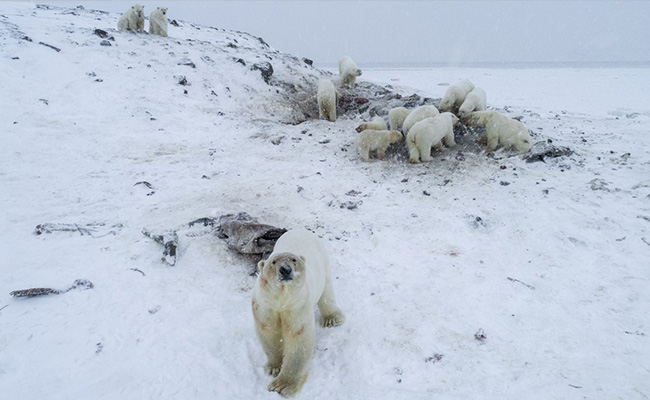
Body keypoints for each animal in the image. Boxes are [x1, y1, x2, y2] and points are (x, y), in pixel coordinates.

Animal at [252, 228, 345, 398]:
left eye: (294, 260)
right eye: (273, 262)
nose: (285, 269)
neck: (282, 299)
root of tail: (300, 229)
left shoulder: (297, 305)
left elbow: (298, 338)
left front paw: (281, 386)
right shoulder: (265, 305)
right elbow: (268, 331)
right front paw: (274, 368)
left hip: (323, 262)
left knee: (327, 290)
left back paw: (332, 318)